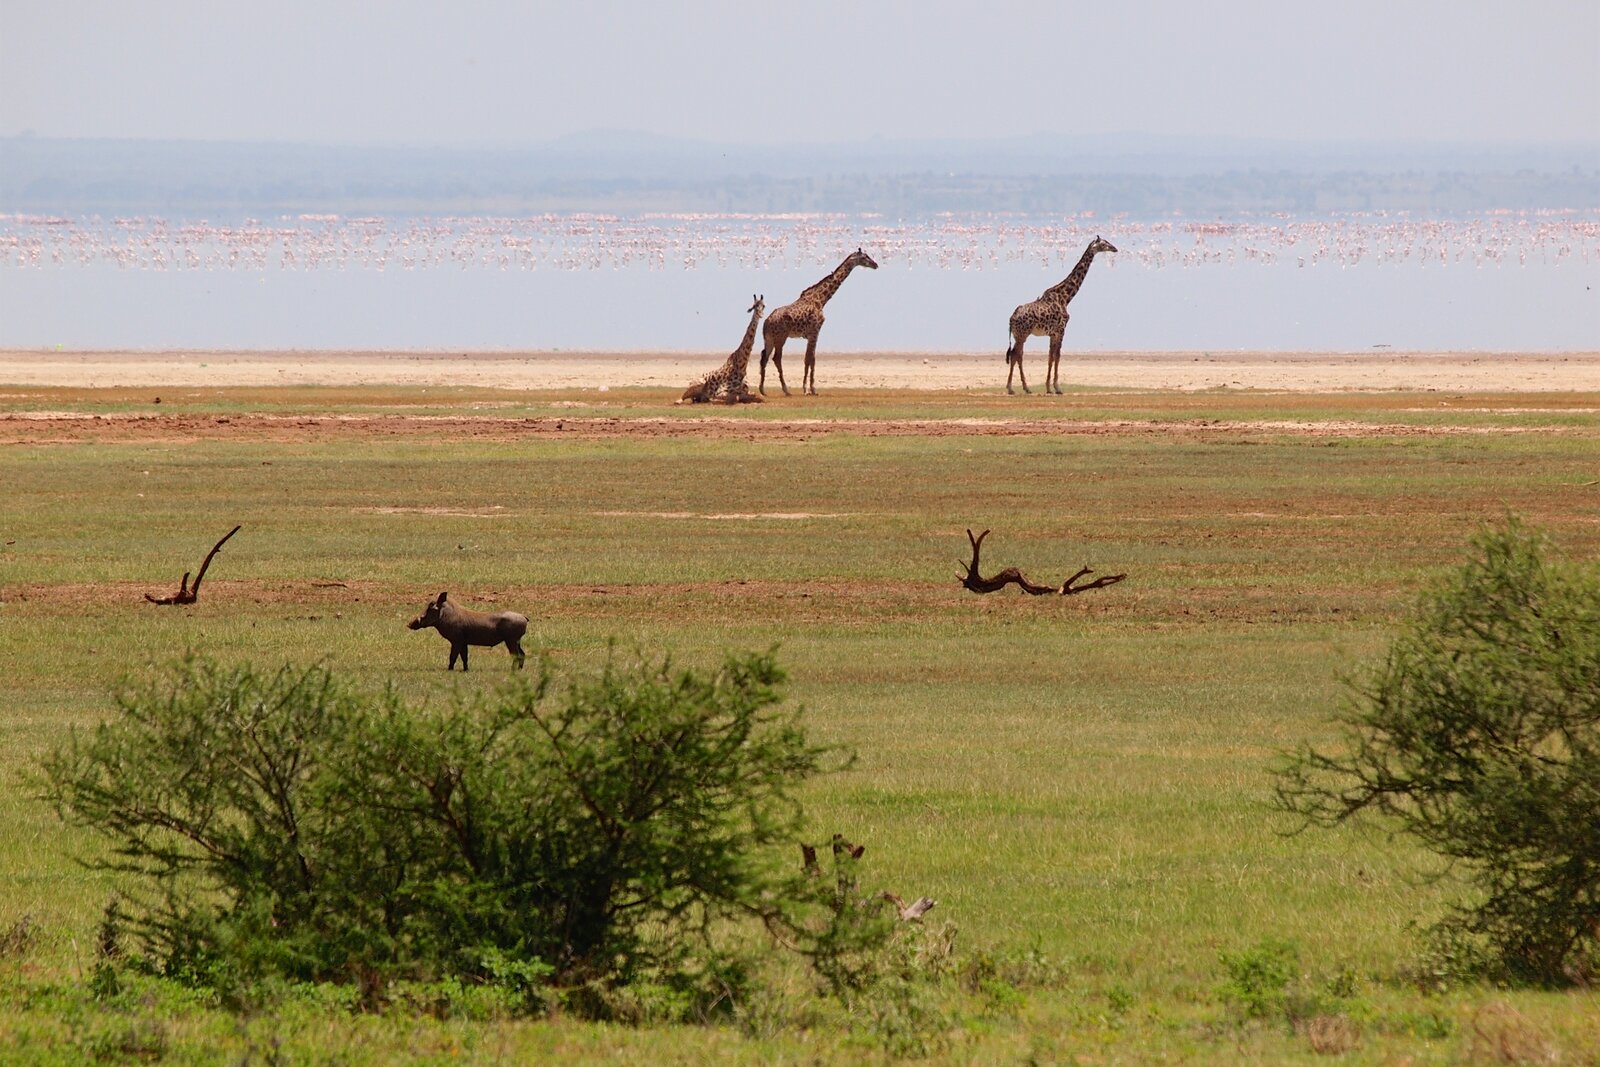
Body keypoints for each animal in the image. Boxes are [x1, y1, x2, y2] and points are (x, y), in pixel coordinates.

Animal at [759, 247, 878, 396]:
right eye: (864, 257)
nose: (875, 264)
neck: (821, 299)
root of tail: (766, 322)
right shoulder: (815, 332)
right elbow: (810, 359)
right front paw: (809, 389)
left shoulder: (811, 334)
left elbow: (810, 359)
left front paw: (809, 388)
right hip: (781, 337)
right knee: (776, 358)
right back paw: (786, 390)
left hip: (769, 338)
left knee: (764, 357)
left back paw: (762, 390)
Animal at [1005, 236, 1117, 395]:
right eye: (1104, 243)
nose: (1115, 248)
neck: (1065, 297)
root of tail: (1011, 318)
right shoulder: (1061, 330)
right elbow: (1057, 356)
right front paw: (1057, 387)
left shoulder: (1053, 333)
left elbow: (1050, 357)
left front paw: (1048, 387)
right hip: (1022, 334)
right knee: (1016, 355)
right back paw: (1013, 388)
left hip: (1018, 335)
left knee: (1017, 355)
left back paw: (1024, 388)